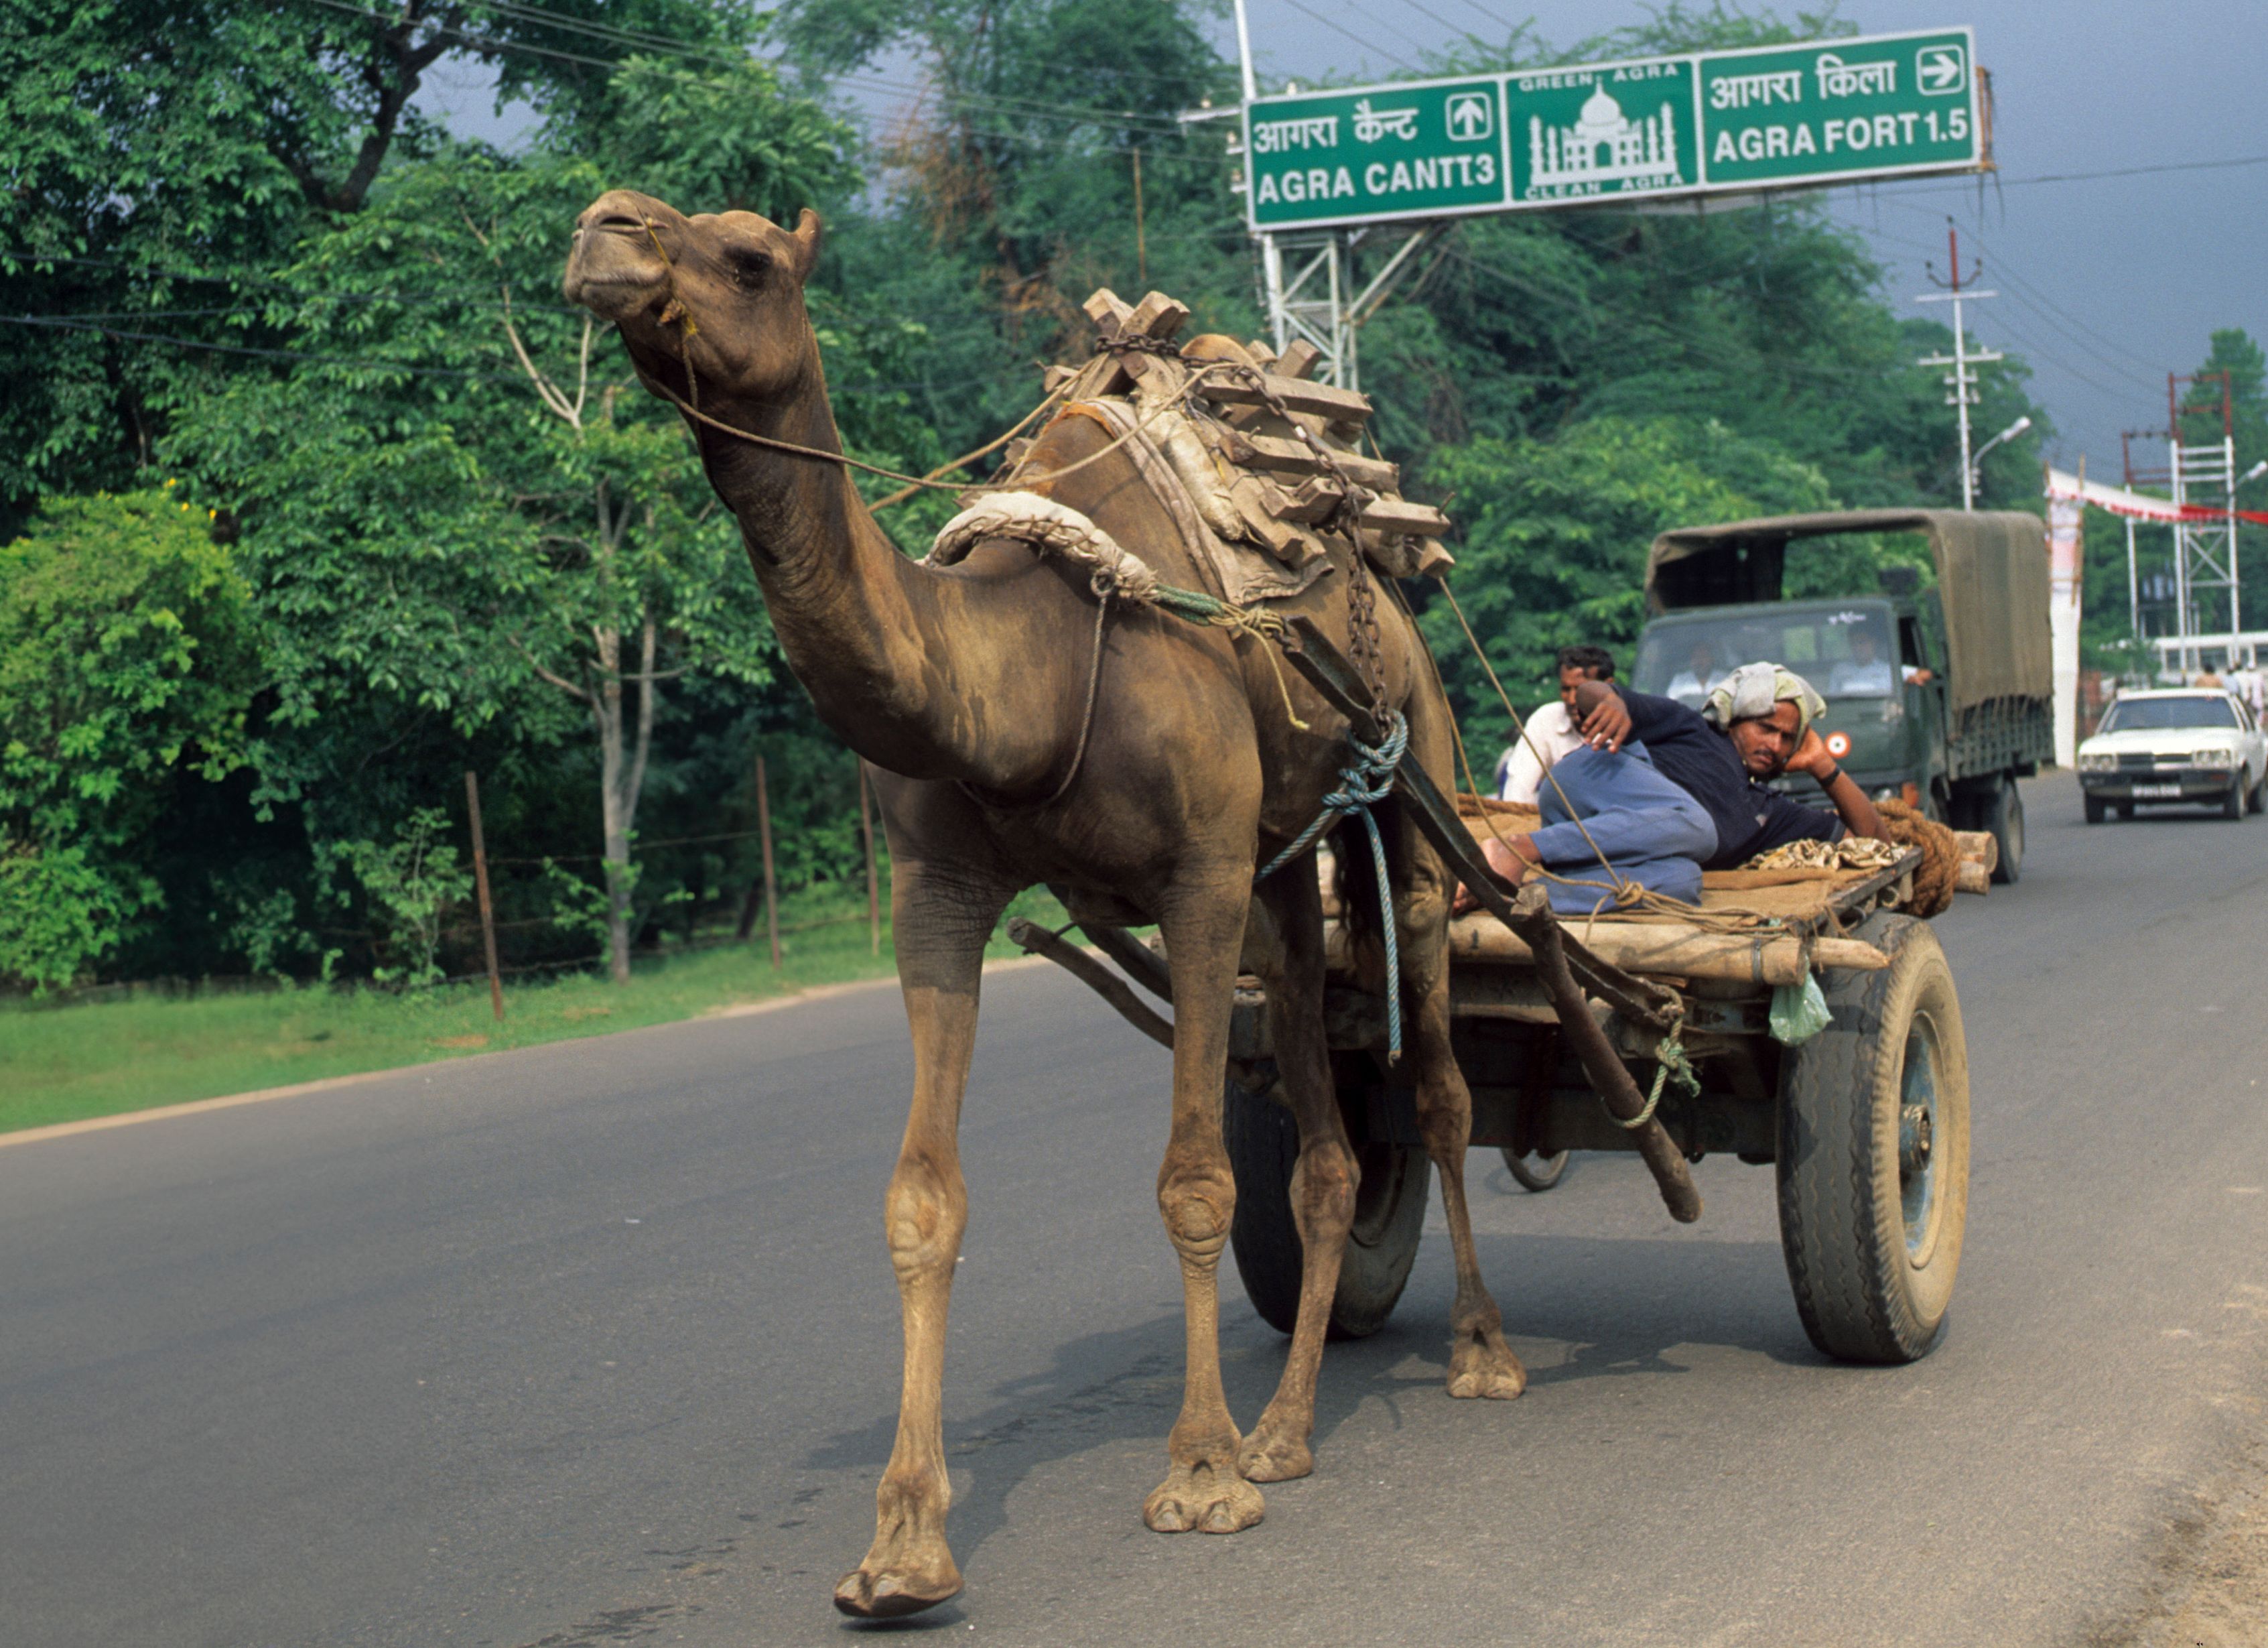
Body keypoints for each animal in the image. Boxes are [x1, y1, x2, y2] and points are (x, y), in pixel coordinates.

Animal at [562, 187, 1524, 1616]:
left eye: (746, 255)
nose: (603, 228)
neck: (1034, 661)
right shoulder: (939, 891)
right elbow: (921, 1199)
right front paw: (902, 1545)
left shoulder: (1196, 875)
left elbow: (1193, 1179)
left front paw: (1197, 1473)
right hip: (1284, 868)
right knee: (1328, 1131)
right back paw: (1289, 1427)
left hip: (1414, 762)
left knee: (1443, 1069)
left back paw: (1476, 1350)